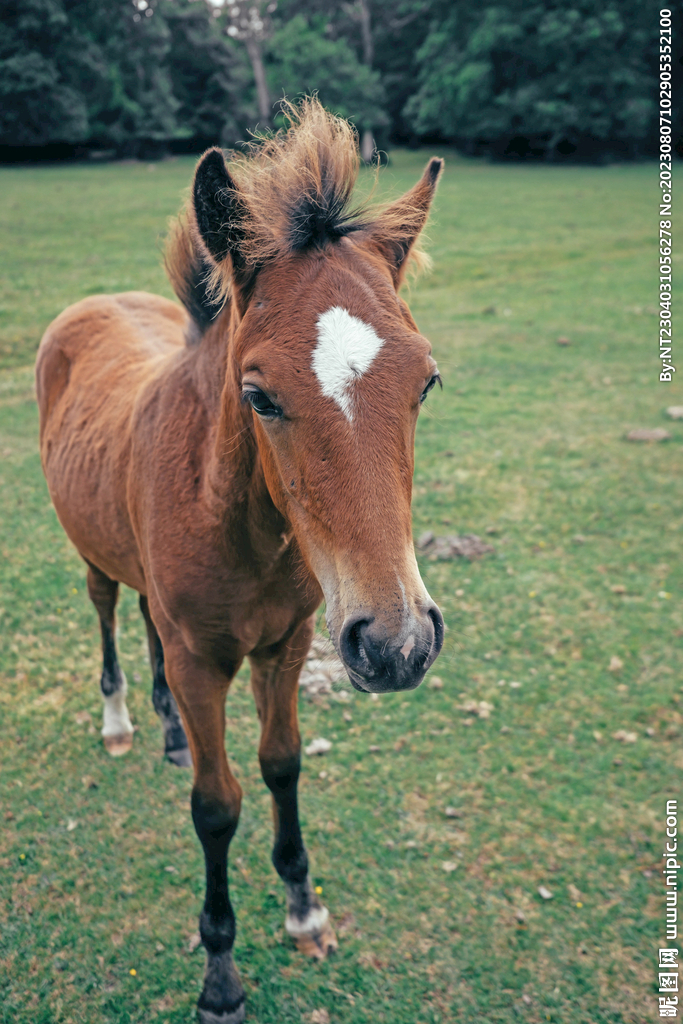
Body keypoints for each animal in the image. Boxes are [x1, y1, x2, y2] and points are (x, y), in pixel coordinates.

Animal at [35, 99, 445, 1023]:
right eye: (258, 395)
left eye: (426, 381)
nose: (398, 643)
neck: (246, 530)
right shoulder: (202, 660)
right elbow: (217, 805)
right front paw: (220, 972)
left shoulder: (287, 643)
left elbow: (280, 764)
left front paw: (303, 911)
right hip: (90, 551)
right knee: (110, 611)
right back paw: (122, 721)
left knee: (143, 616)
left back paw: (164, 731)